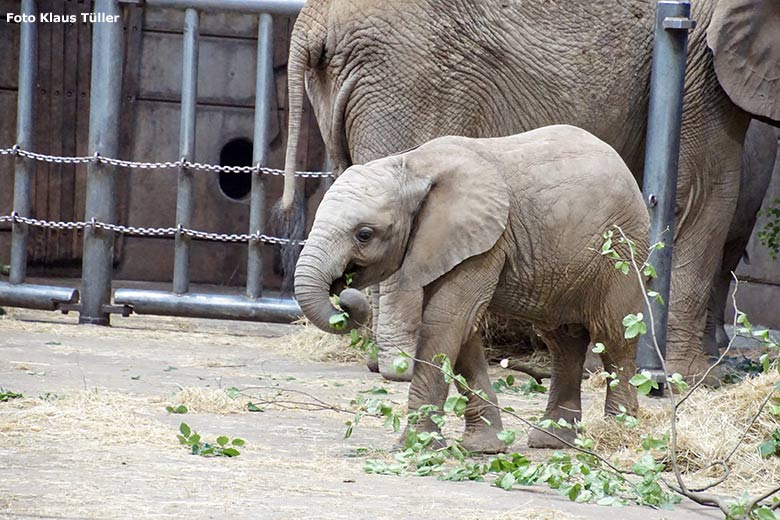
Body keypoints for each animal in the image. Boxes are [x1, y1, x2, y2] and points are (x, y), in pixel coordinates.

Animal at [280, 0, 780, 382]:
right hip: (411, 76)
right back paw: (400, 366)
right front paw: (693, 377)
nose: (344, 298)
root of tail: (311, 21)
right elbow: (706, 192)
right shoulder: (699, 53)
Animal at [296, 125, 648, 450]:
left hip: (622, 250)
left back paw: (618, 435)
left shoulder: (484, 242)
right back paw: (552, 440)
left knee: (613, 335)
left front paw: (415, 447)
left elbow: (446, 321)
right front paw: (483, 447)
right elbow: (462, 331)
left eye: (364, 235)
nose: (346, 294)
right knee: (563, 342)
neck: (413, 165)